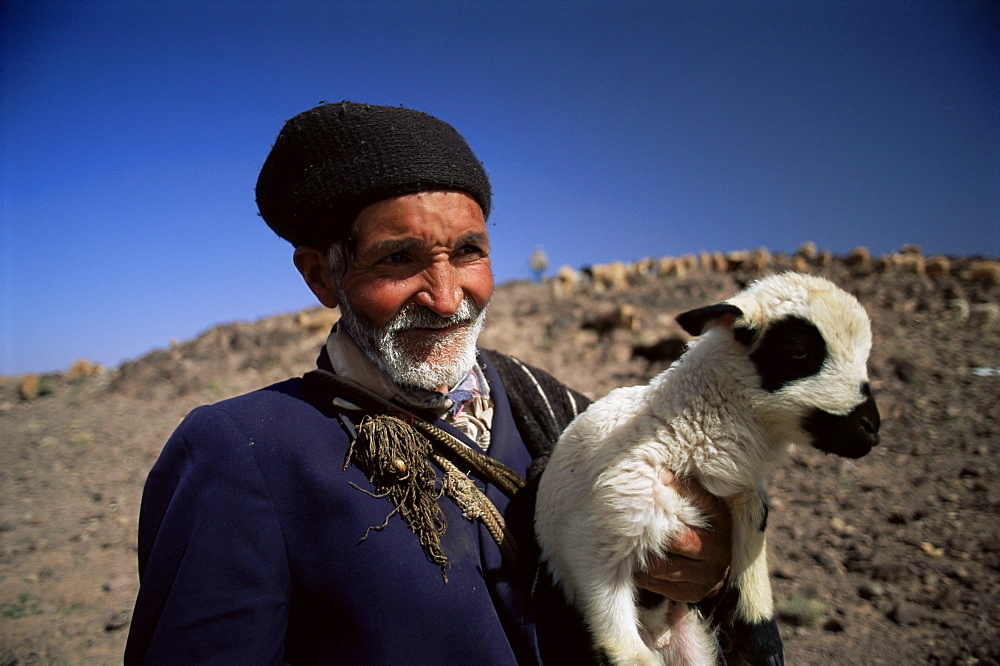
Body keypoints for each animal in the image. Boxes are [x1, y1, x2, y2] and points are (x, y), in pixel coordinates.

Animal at [536, 272, 880, 660]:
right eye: (798, 349)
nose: (872, 427)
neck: (685, 431)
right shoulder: (598, 540)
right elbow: (623, 649)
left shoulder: (742, 491)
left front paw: (763, 641)